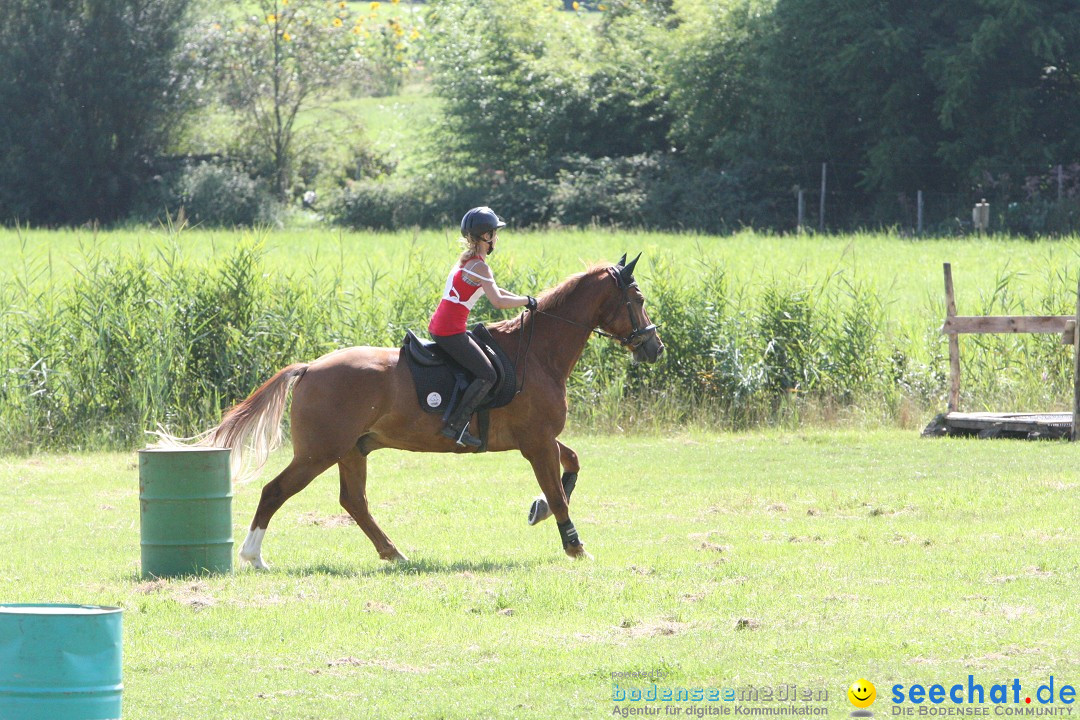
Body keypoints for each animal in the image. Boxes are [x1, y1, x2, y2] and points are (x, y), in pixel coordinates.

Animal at [164, 253, 660, 569]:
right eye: (636, 300)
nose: (654, 348)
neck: (537, 353)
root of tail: (308, 368)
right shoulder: (535, 442)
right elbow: (558, 490)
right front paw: (576, 548)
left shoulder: (539, 438)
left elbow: (571, 464)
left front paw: (537, 510)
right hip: (319, 452)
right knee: (275, 491)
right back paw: (253, 557)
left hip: (352, 450)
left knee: (354, 501)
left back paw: (394, 553)